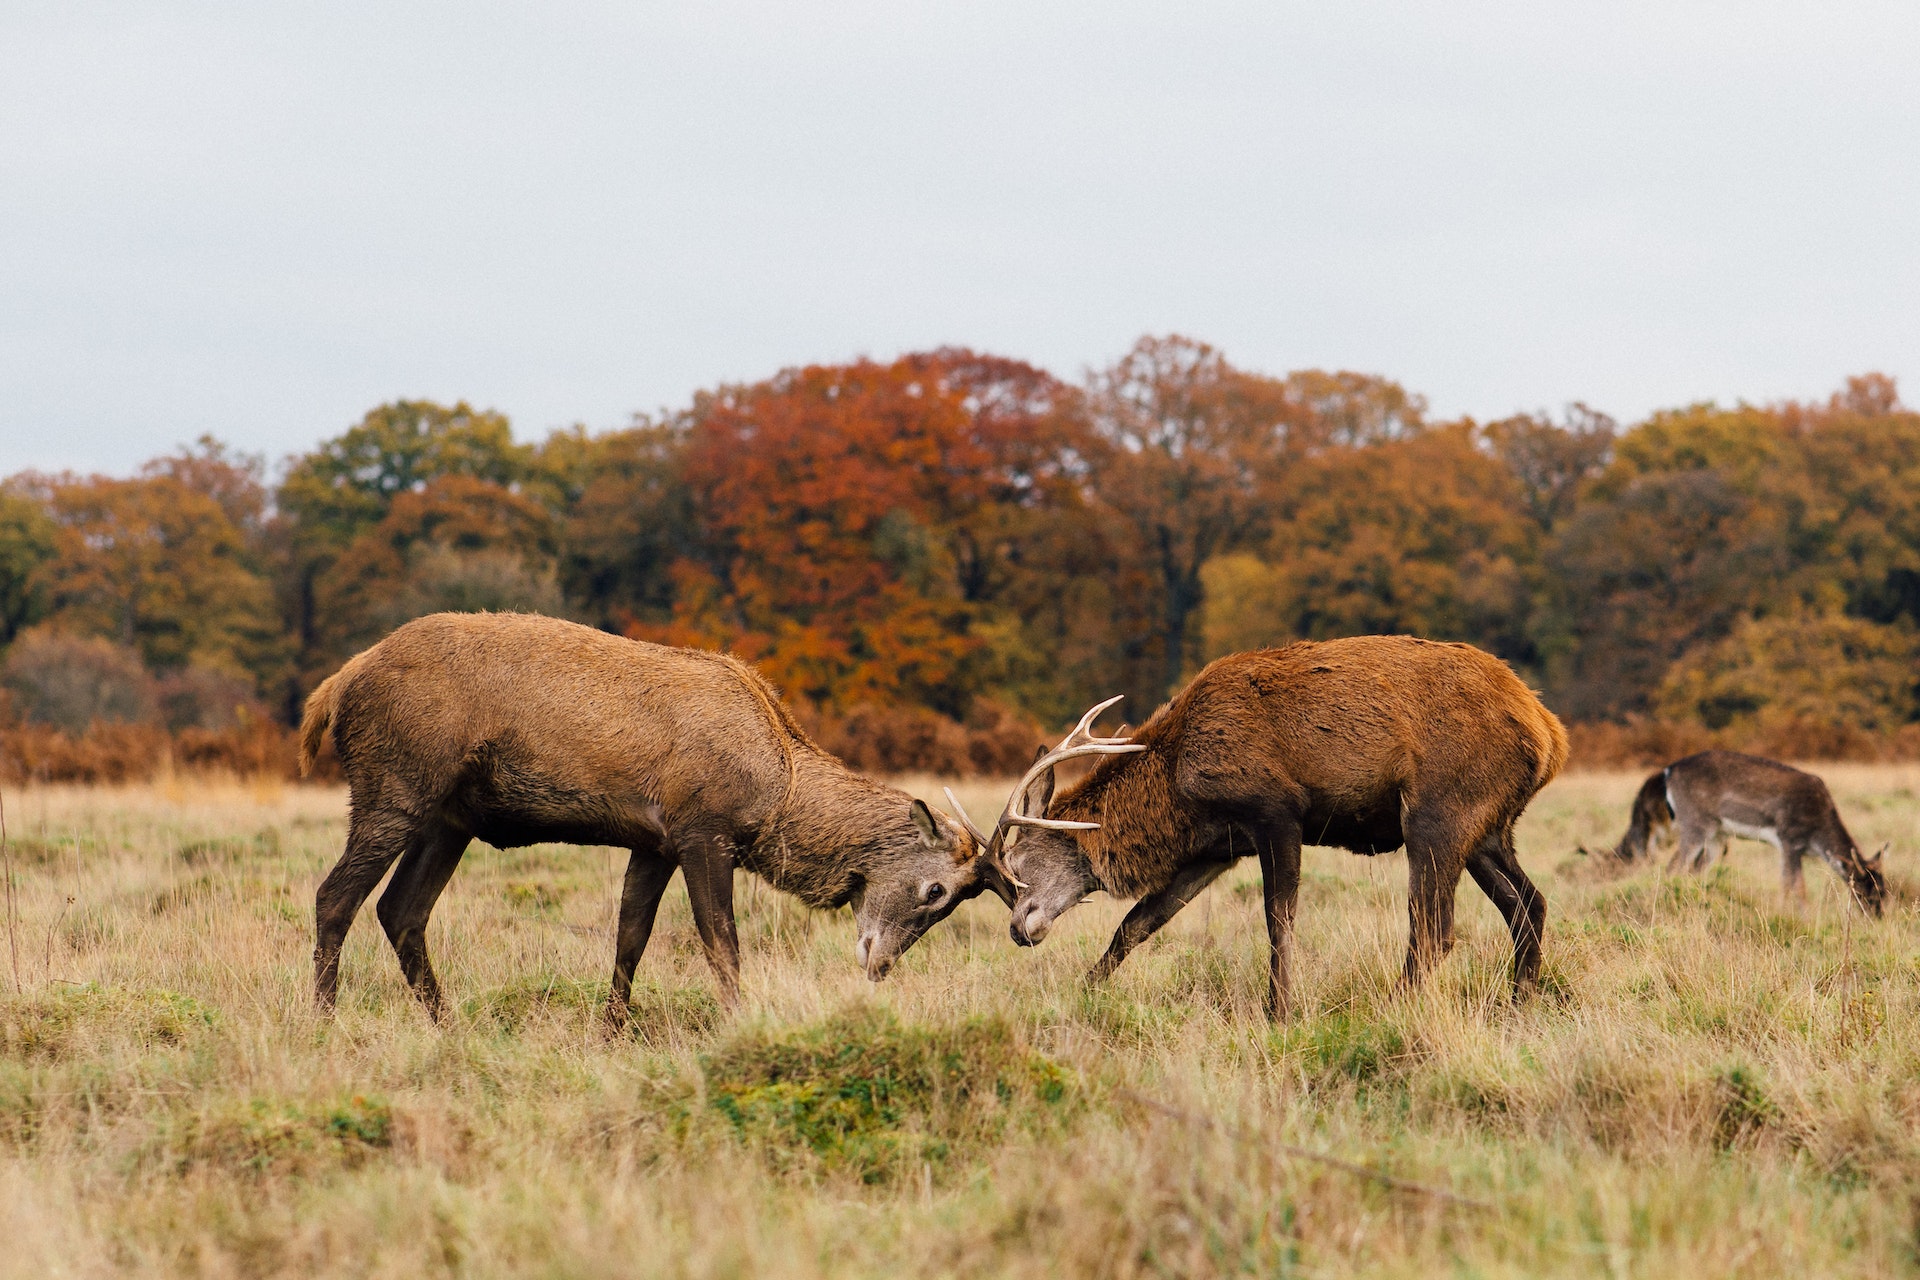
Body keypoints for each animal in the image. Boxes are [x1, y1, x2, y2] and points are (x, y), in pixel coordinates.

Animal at [295, 614, 1021, 1028]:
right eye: (936, 890)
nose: (880, 964)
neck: (778, 789)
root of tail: (336, 687)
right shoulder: (703, 829)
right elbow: (721, 943)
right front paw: (738, 1025)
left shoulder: (654, 844)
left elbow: (630, 940)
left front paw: (610, 1032)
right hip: (394, 787)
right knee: (335, 896)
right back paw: (325, 1025)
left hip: (451, 819)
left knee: (401, 910)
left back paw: (450, 1026)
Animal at [952, 640, 1566, 1020]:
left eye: (1017, 867)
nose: (1019, 929)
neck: (1177, 783)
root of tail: (1549, 736)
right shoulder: (1217, 848)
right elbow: (1138, 923)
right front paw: (1081, 992)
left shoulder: (1276, 810)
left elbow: (1278, 921)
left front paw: (1280, 1013)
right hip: (1488, 829)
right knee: (1528, 905)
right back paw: (1518, 1007)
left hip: (1438, 812)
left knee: (1435, 928)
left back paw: (1387, 1009)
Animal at [1605, 744, 1873, 917]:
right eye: (1865, 888)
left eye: (1879, 883)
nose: (1876, 914)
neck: (1818, 837)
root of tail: (1667, 772)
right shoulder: (1790, 839)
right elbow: (1795, 885)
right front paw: (1797, 916)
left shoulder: (1785, 847)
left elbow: (1786, 880)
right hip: (1695, 825)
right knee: (1673, 867)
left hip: (1716, 836)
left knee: (1693, 870)